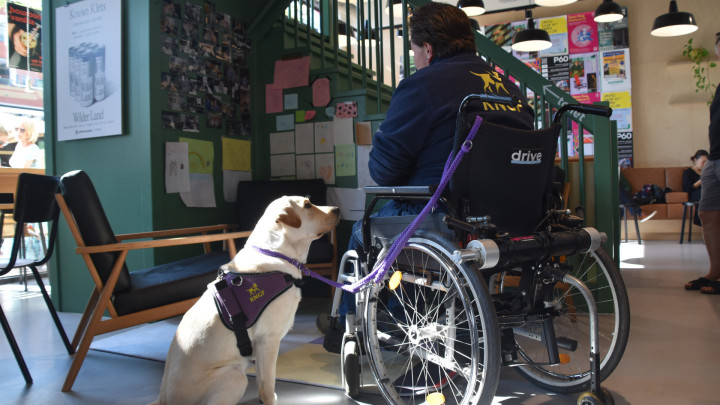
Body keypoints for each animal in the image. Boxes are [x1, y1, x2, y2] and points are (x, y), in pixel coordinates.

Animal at [152, 196, 338, 404]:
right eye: (307, 205)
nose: (337, 209)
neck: (273, 252)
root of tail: (163, 398)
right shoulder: (268, 339)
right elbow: (268, 381)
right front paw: (270, 399)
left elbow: (261, 380)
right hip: (235, 375)